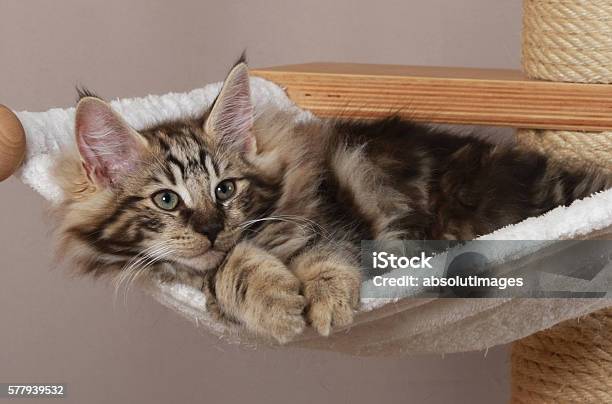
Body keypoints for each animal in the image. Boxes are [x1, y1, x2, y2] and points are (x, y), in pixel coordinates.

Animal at [53, 59, 612, 344]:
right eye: (166, 199)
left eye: (224, 189)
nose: (211, 228)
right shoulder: (184, 270)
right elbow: (223, 268)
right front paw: (275, 302)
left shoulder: (328, 218)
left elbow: (325, 256)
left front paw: (326, 302)